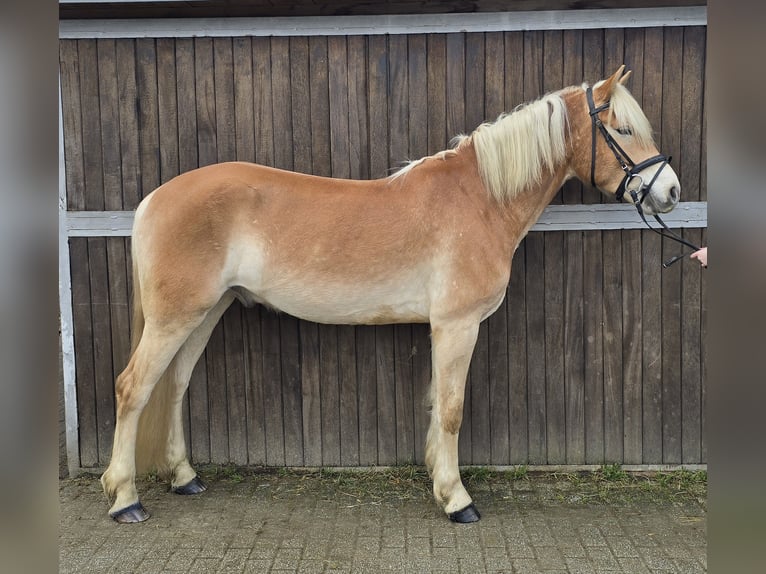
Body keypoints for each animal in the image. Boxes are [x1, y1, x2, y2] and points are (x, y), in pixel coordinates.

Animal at [102, 65, 684, 524]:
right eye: (624, 129)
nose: (671, 190)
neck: (480, 198)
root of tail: (154, 199)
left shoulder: (443, 329)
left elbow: (434, 404)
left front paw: (438, 481)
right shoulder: (457, 325)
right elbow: (451, 409)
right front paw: (458, 501)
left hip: (204, 313)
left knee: (174, 386)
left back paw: (184, 477)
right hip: (175, 317)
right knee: (133, 388)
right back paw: (125, 499)